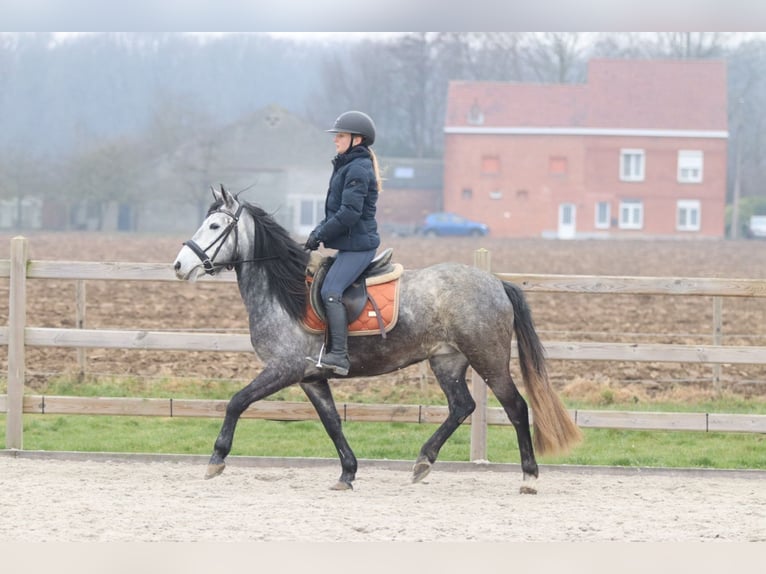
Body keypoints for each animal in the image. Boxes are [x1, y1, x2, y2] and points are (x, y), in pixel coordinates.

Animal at [173, 185, 582, 493]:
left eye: (214, 226)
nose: (179, 266)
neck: (285, 294)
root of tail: (496, 282)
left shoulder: (284, 369)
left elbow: (236, 402)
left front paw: (216, 459)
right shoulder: (311, 377)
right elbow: (332, 422)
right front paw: (347, 472)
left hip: (489, 359)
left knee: (516, 407)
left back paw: (529, 477)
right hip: (447, 360)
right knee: (462, 407)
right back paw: (422, 463)